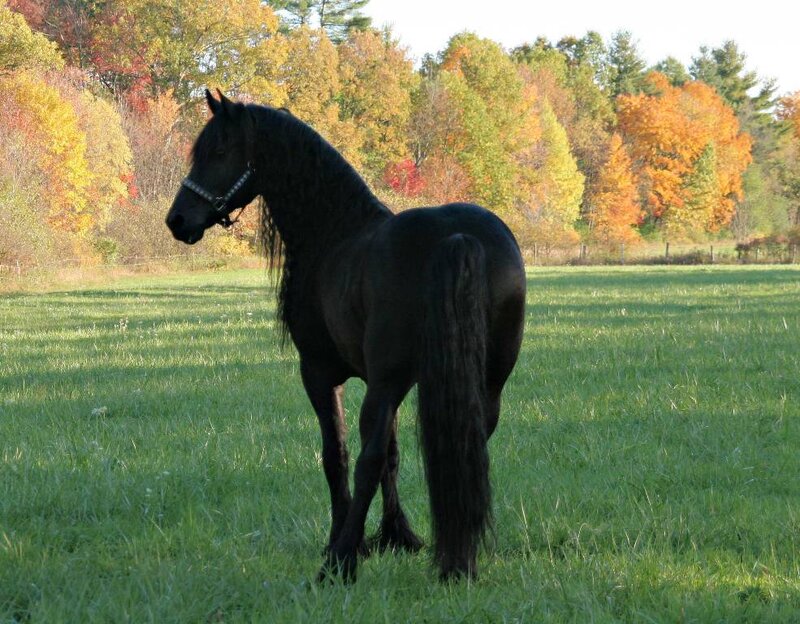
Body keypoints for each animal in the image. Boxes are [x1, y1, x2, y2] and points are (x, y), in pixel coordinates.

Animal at [166, 90, 526, 582]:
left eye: (218, 152)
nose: (177, 220)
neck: (334, 231)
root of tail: (456, 238)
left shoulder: (322, 374)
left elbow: (336, 455)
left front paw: (345, 538)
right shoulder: (392, 383)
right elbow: (393, 455)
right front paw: (398, 536)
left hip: (388, 381)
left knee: (366, 459)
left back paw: (340, 561)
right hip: (486, 382)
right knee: (470, 443)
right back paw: (459, 559)